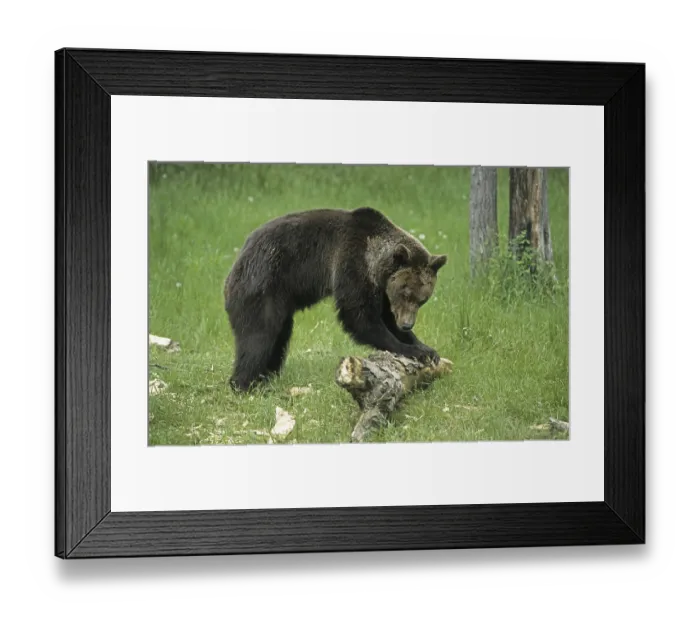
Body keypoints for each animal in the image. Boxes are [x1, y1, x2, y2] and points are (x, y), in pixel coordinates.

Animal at [223, 206, 447, 392]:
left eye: (423, 299)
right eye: (405, 292)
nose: (408, 324)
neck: (375, 263)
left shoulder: (382, 290)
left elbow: (386, 318)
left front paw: (426, 348)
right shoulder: (351, 263)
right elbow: (359, 316)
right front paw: (410, 350)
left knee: (279, 337)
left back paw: (268, 375)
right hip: (263, 285)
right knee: (258, 337)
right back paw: (244, 383)